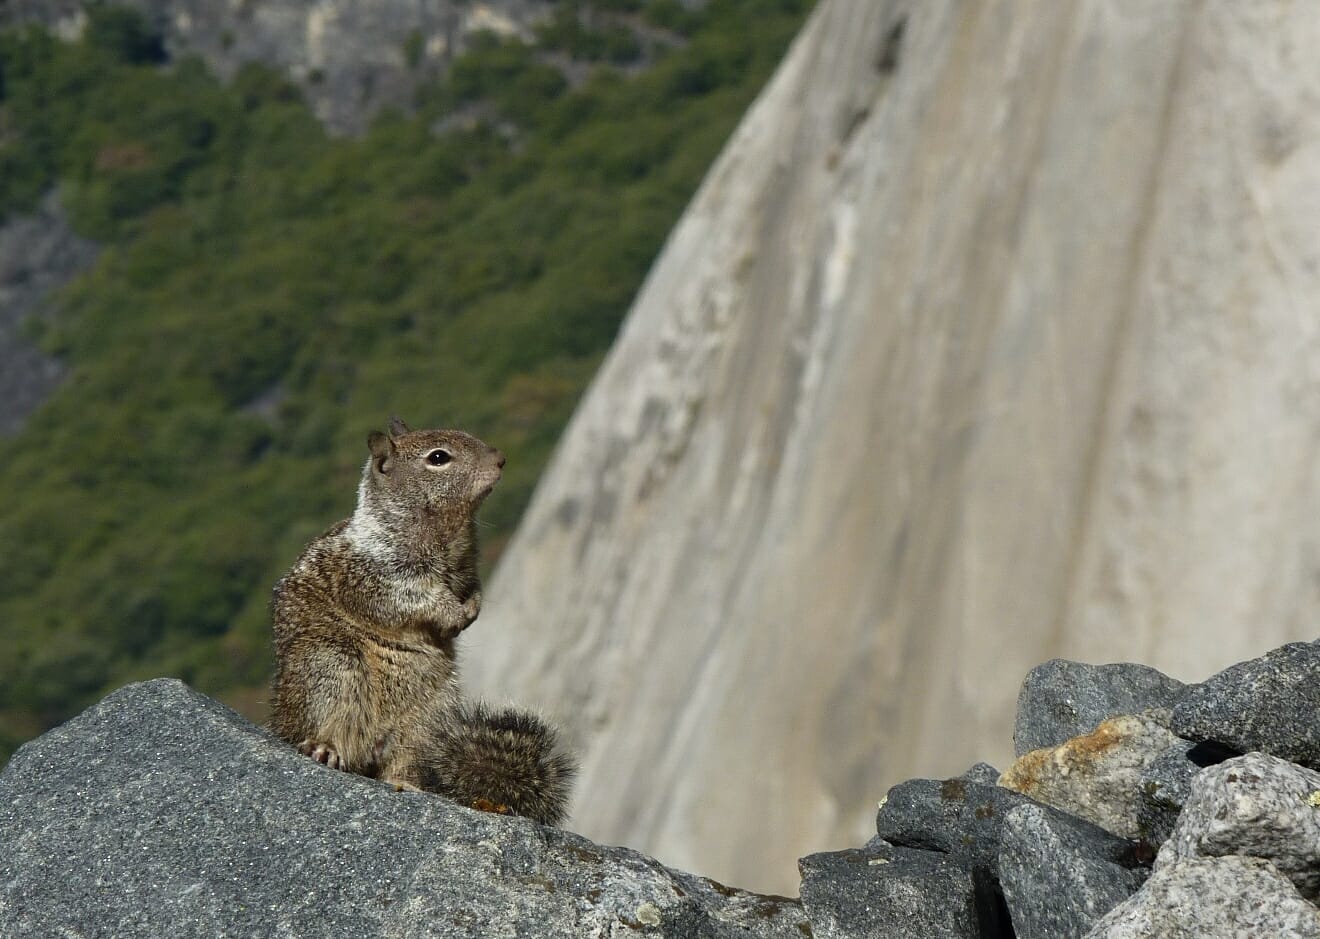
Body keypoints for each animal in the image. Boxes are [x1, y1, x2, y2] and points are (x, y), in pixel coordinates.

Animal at [268, 417, 575, 825]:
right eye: (438, 458)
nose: (501, 458)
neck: (448, 532)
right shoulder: (380, 575)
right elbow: (414, 599)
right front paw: (454, 613)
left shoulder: (467, 570)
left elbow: (472, 590)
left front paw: (472, 609)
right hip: (331, 666)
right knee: (324, 722)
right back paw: (324, 748)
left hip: (430, 720)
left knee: (400, 763)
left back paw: (408, 784)